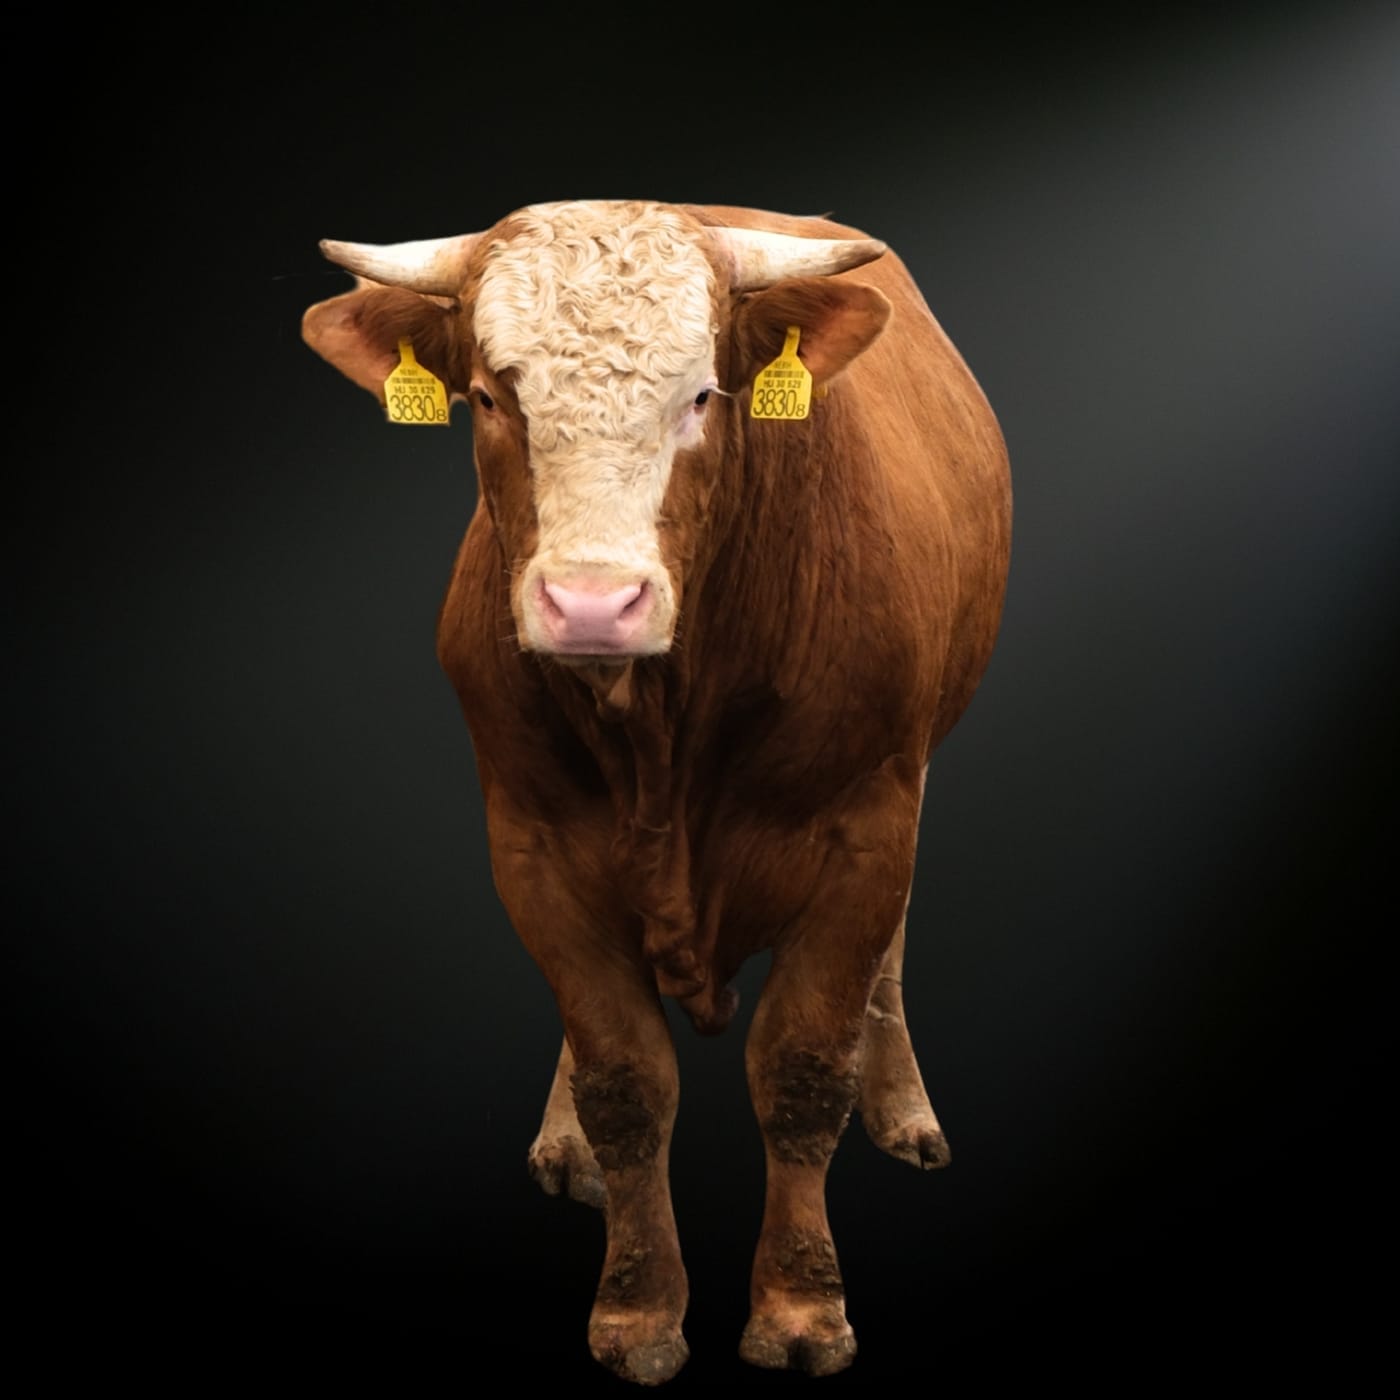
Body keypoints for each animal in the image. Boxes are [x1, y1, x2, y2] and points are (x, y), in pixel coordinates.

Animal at [301, 199, 1011, 1384]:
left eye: (702, 397)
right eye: (488, 397)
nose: (592, 605)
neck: (660, 737)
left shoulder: (869, 827)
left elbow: (804, 1065)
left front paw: (800, 1306)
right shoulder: (530, 841)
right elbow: (623, 1076)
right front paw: (637, 1311)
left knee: (892, 957)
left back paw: (904, 1107)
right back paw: (563, 1143)